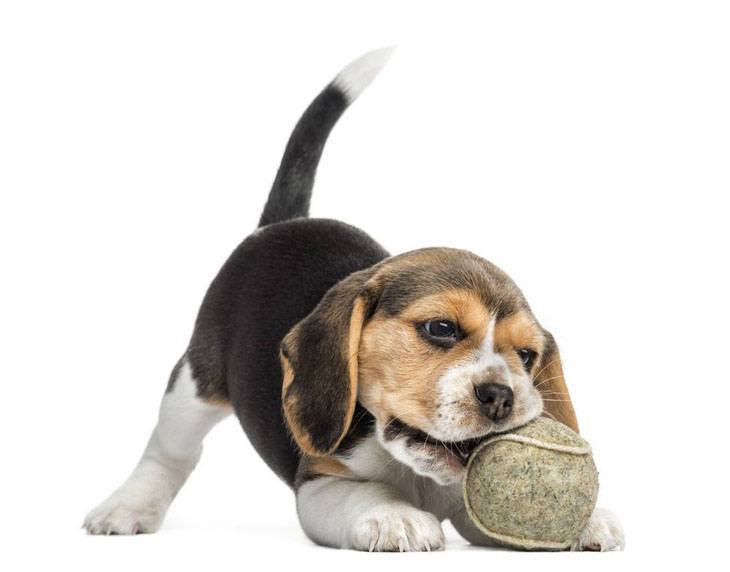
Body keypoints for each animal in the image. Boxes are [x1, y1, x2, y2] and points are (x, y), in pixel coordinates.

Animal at [84, 50, 620, 556]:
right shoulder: (319, 482)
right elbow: (363, 493)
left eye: (527, 357)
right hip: (195, 381)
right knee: (170, 450)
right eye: (441, 329)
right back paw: (126, 508)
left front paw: (586, 519)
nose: (501, 396)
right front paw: (395, 516)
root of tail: (279, 225)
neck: (415, 471)